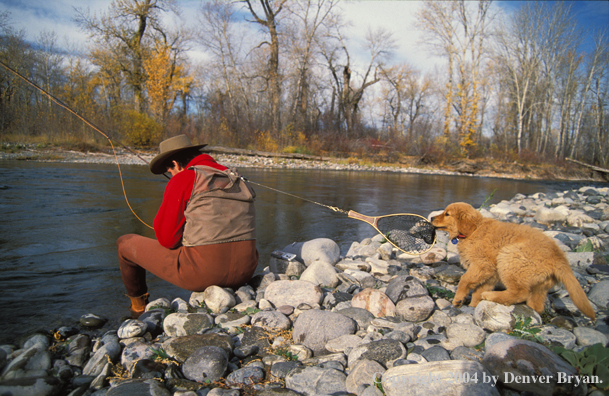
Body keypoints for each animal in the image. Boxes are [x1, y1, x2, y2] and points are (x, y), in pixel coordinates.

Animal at [432, 203, 592, 320]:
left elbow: (465, 280)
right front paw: (473, 305)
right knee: (536, 306)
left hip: (509, 258)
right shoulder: (491, 273)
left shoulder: (482, 264)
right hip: (539, 285)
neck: (474, 230)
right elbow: (479, 290)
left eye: (447, 214)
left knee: (520, 292)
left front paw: (459, 299)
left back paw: (492, 296)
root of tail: (558, 256)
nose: (432, 217)